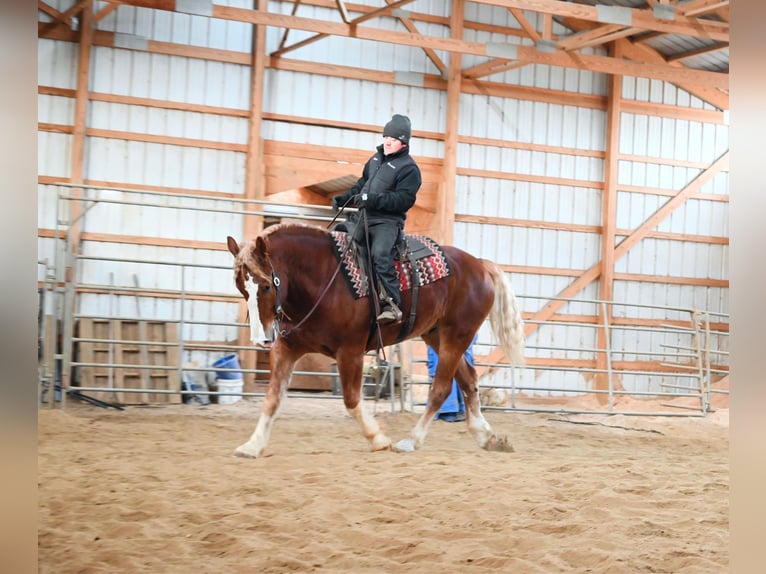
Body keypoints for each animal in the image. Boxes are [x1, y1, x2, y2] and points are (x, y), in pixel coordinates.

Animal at [228, 224, 524, 460]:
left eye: (266, 285)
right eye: (241, 287)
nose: (261, 338)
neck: (322, 279)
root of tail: (480, 265)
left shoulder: (350, 351)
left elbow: (351, 400)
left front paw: (378, 439)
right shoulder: (287, 349)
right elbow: (273, 398)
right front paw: (252, 445)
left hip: (457, 335)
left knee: (441, 388)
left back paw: (411, 440)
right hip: (437, 335)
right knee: (468, 379)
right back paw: (486, 436)